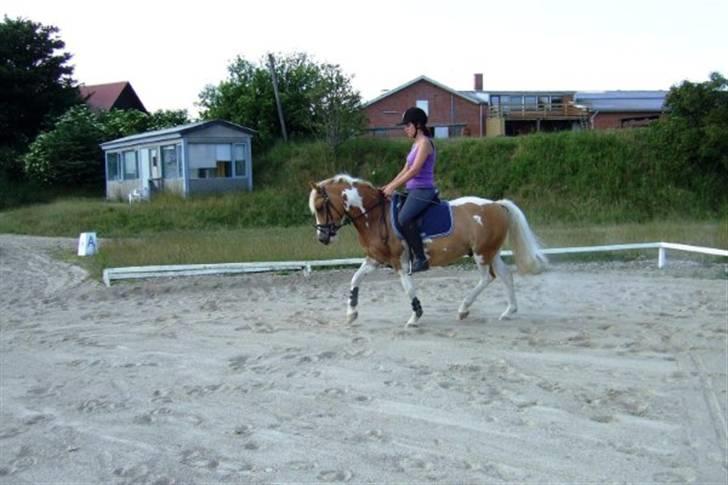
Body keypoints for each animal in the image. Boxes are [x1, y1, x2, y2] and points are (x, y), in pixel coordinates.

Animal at [308, 172, 544, 328]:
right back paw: (509, 312)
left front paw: (415, 316)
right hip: (491, 252)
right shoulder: (374, 258)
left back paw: (464, 308)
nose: (322, 238)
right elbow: (355, 279)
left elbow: (408, 288)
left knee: (487, 278)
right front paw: (351, 313)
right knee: (505, 275)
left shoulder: (400, 263)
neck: (374, 216)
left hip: (481, 253)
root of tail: (496, 204)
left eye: (320, 207)